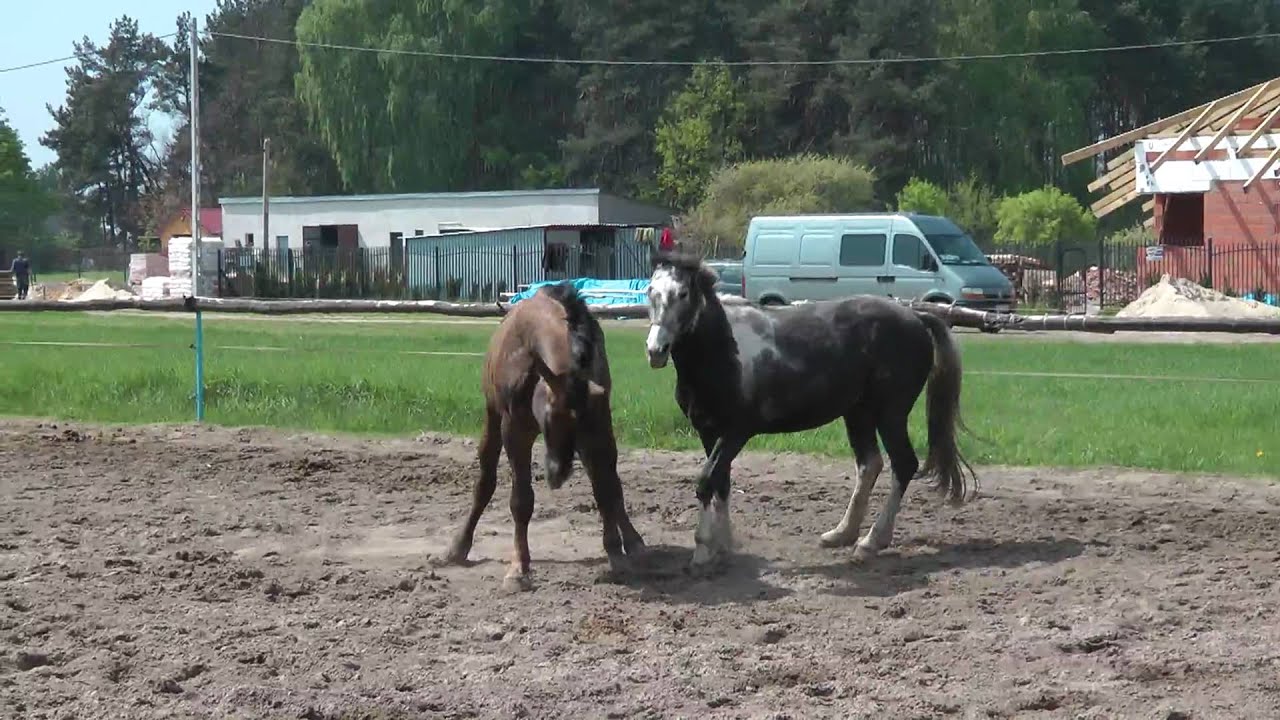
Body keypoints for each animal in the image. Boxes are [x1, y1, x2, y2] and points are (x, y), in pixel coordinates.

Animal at [436, 281, 646, 591]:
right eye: (551, 417)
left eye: (582, 423)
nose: (557, 475)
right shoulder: (515, 431)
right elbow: (521, 501)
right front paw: (518, 569)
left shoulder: (599, 427)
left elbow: (607, 489)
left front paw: (617, 555)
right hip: (492, 419)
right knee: (485, 481)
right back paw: (458, 546)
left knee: (610, 482)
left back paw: (633, 542)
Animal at [642, 253, 977, 571]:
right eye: (650, 291)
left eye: (683, 293)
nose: (655, 351)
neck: (723, 352)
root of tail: (916, 317)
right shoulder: (709, 432)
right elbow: (720, 482)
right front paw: (724, 548)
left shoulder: (736, 432)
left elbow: (705, 481)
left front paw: (702, 552)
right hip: (858, 413)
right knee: (870, 464)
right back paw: (842, 534)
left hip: (890, 413)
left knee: (903, 465)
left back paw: (870, 543)